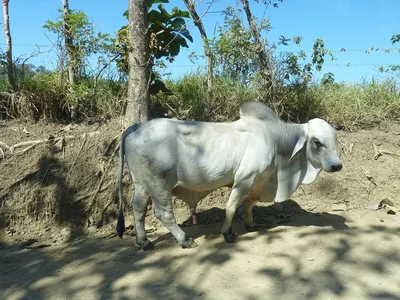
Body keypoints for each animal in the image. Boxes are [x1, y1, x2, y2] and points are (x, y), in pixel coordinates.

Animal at [117, 102, 342, 250]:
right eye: (317, 142)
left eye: (335, 141)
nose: (337, 165)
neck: (275, 140)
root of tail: (137, 126)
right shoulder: (244, 179)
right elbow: (232, 206)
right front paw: (227, 233)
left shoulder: (256, 181)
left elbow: (249, 204)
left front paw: (251, 224)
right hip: (159, 184)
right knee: (163, 213)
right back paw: (184, 240)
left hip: (141, 183)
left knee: (138, 208)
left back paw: (143, 241)